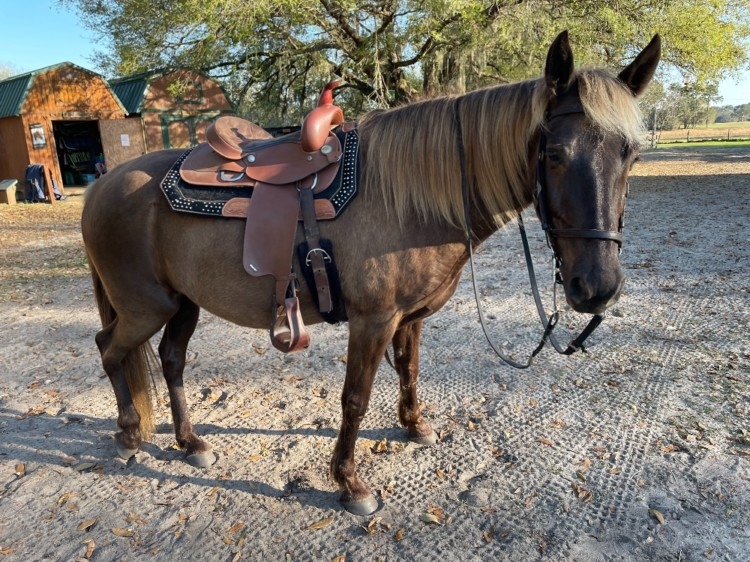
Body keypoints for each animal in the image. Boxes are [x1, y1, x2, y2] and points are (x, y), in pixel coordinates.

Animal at [79, 29, 660, 512]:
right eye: (555, 153)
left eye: (631, 154)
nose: (597, 287)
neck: (410, 202)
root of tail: (103, 184)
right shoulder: (373, 320)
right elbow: (355, 399)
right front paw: (350, 482)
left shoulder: (410, 317)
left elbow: (409, 370)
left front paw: (415, 426)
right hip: (145, 306)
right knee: (109, 349)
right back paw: (129, 435)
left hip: (183, 304)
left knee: (170, 361)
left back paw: (190, 442)